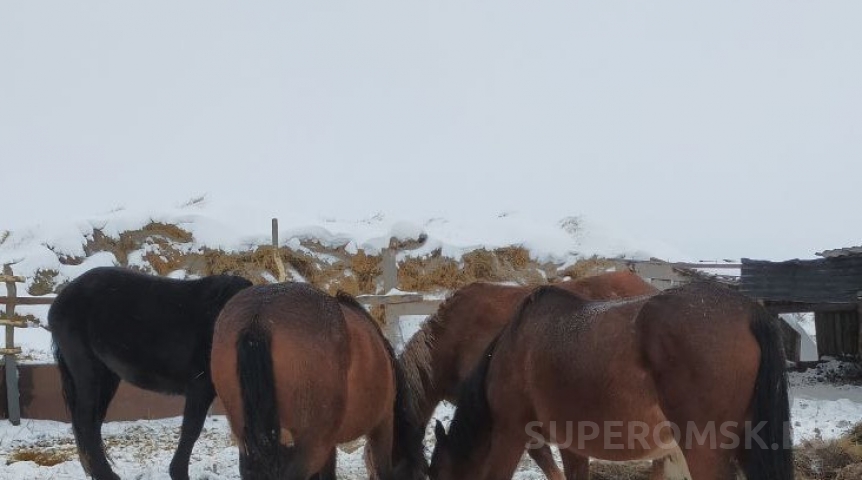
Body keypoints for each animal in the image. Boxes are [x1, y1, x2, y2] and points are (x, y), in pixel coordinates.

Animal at [49, 266, 253, 480]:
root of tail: (61, 299)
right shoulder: (201, 387)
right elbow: (191, 430)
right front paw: (179, 472)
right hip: (88, 373)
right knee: (86, 422)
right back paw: (106, 474)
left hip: (107, 378)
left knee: (93, 423)